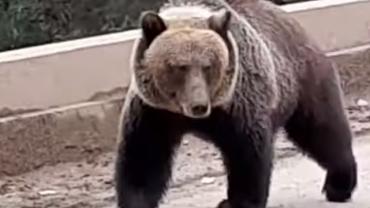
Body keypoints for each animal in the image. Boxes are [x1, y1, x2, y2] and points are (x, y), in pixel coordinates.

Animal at [114, 0, 356, 208]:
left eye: (208, 65)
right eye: (178, 66)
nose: (198, 105)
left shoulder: (239, 101)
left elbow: (247, 154)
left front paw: (237, 202)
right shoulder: (153, 111)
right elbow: (143, 161)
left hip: (304, 80)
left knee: (322, 130)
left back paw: (339, 185)